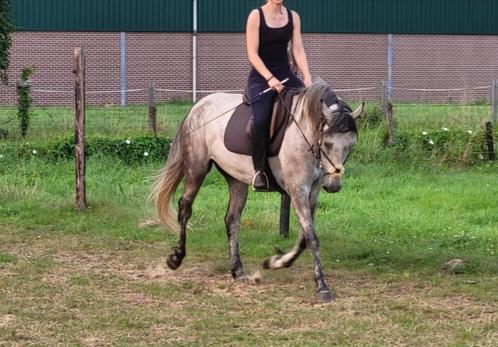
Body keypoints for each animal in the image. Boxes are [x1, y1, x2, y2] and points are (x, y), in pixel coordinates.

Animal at [150, 81, 364, 302]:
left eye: (351, 145)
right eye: (328, 144)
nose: (334, 185)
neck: (306, 134)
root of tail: (198, 106)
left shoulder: (312, 193)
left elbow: (304, 237)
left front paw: (275, 262)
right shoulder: (298, 191)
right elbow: (311, 237)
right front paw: (322, 286)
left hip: (235, 179)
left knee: (232, 219)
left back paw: (237, 271)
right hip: (197, 168)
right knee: (185, 207)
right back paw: (176, 258)